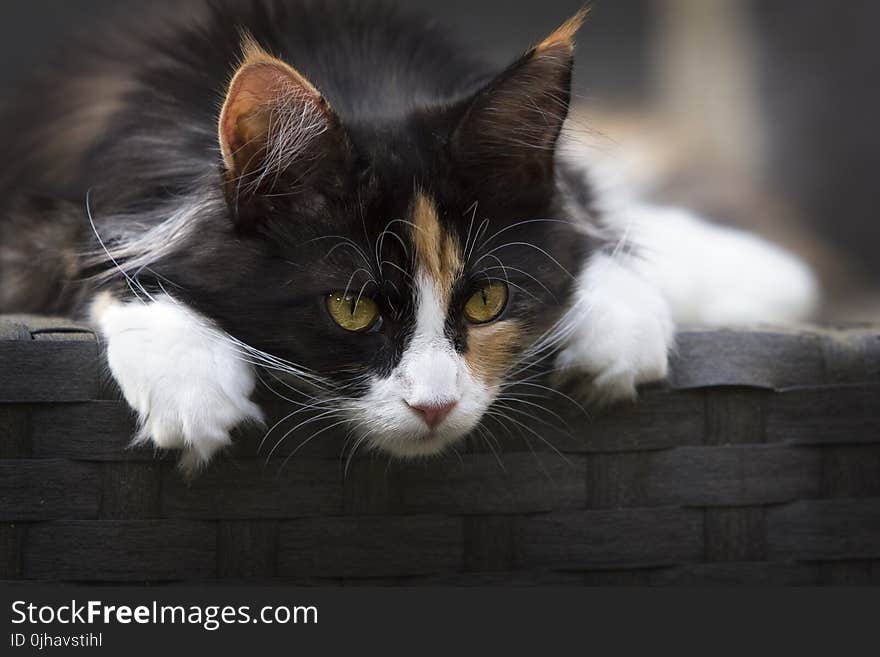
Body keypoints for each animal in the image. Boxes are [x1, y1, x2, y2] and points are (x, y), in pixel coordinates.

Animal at [0, 1, 820, 472]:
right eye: (352, 308)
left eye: (488, 300)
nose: (434, 406)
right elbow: (90, 254)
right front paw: (188, 381)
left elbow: (593, 225)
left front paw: (619, 326)